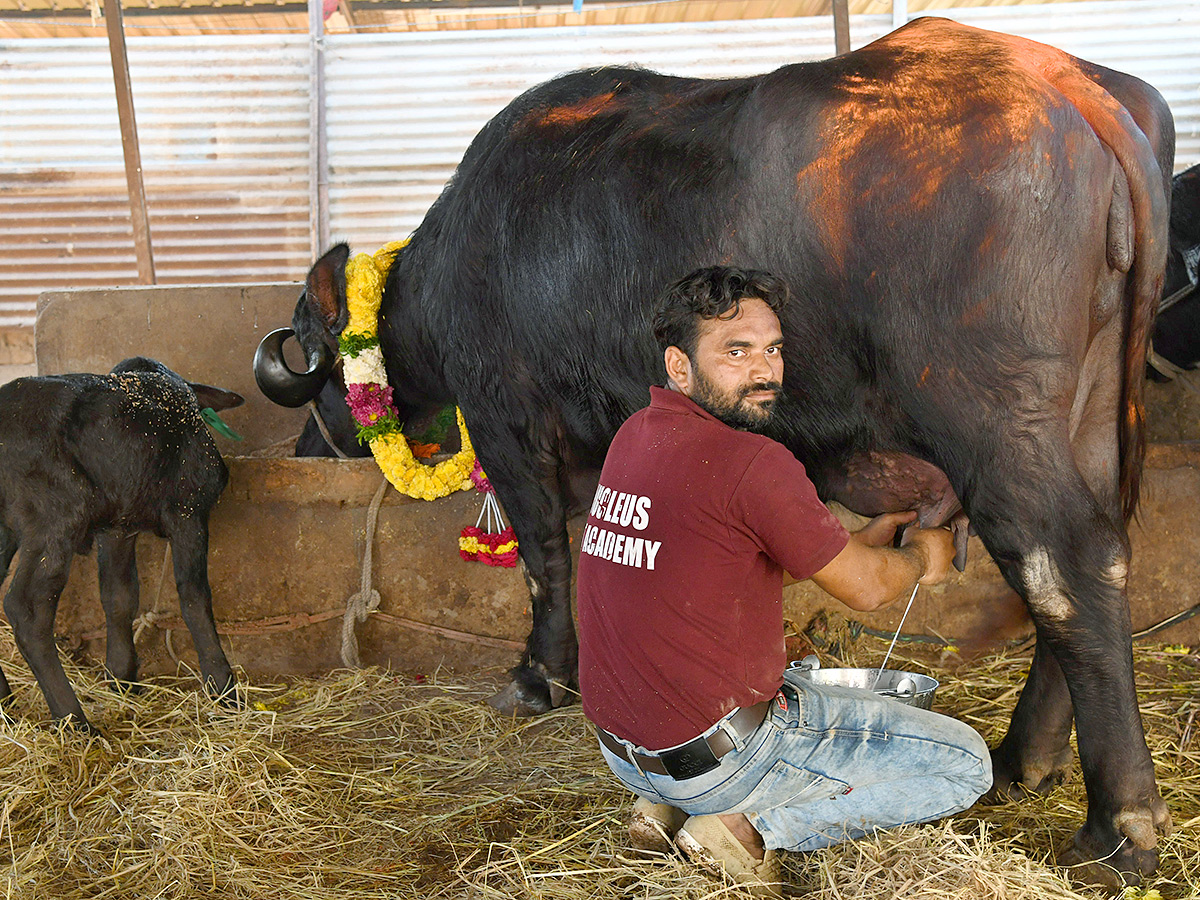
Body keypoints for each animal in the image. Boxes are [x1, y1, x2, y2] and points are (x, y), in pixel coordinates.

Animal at [0, 360, 243, 734]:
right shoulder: (188, 510)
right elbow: (194, 597)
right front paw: (222, 687)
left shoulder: (118, 526)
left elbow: (119, 597)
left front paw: (122, 679)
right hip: (57, 515)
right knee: (26, 609)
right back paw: (75, 721)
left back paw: (6, 703)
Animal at [260, 17, 1171, 883]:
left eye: (322, 360)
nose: (307, 448)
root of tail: (1070, 89)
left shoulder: (505, 417)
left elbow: (544, 556)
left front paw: (538, 677)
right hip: (1090, 422)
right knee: (1094, 561)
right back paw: (1026, 761)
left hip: (994, 419)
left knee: (1063, 566)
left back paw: (1117, 829)